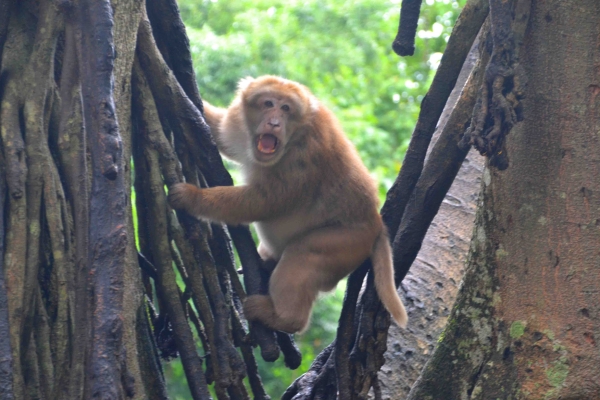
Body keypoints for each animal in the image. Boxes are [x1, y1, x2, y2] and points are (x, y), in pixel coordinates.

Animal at [169, 76, 408, 334]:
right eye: (268, 103)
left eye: (286, 109)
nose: (274, 123)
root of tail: (376, 222)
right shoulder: (237, 123)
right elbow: (218, 128)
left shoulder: (305, 156)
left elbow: (264, 202)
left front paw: (192, 197)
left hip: (350, 241)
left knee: (304, 252)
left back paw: (285, 319)